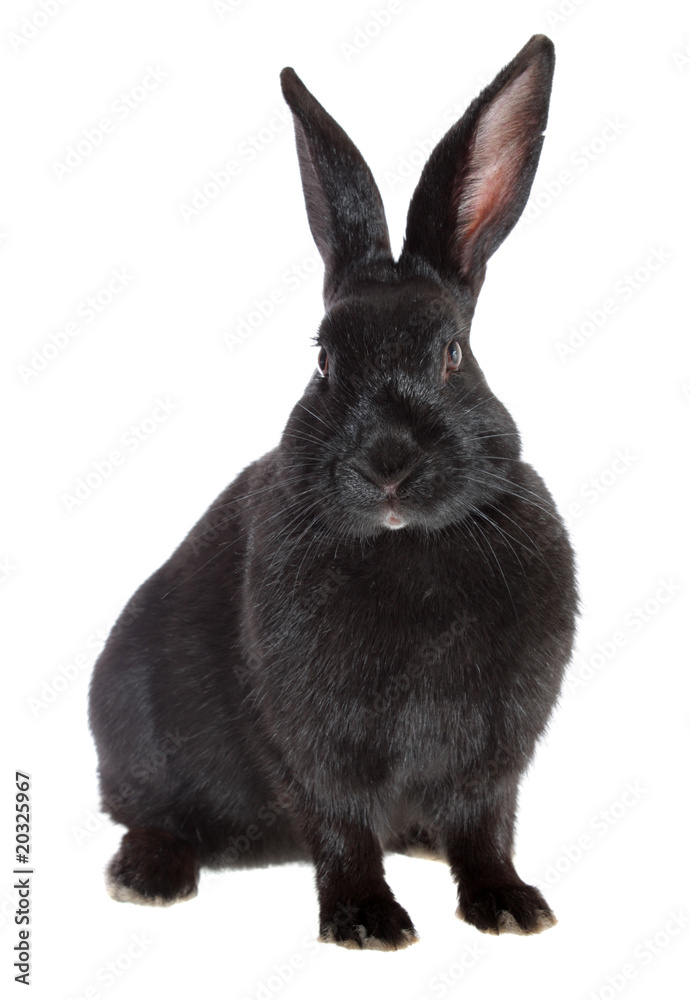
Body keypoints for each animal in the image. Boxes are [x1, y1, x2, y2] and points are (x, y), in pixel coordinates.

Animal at [88, 33, 578, 950]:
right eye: (322, 360)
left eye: (453, 354)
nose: (387, 462)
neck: (407, 543)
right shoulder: (320, 742)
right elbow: (344, 826)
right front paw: (369, 924)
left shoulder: (493, 751)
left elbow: (484, 826)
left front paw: (511, 907)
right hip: (134, 730)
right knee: (151, 815)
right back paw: (148, 879)